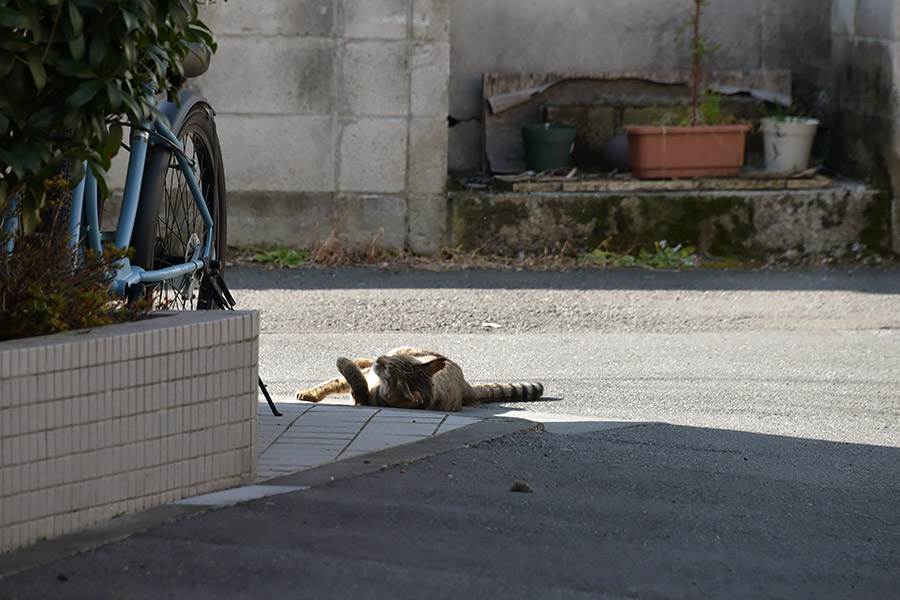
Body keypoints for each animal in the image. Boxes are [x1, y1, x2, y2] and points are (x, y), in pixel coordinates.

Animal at [298, 346, 544, 412]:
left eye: (390, 371)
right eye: (393, 363)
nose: (381, 358)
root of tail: (468, 388)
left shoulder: (362, 395)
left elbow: (351, 380)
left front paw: (344, 363)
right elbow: (335, 381)